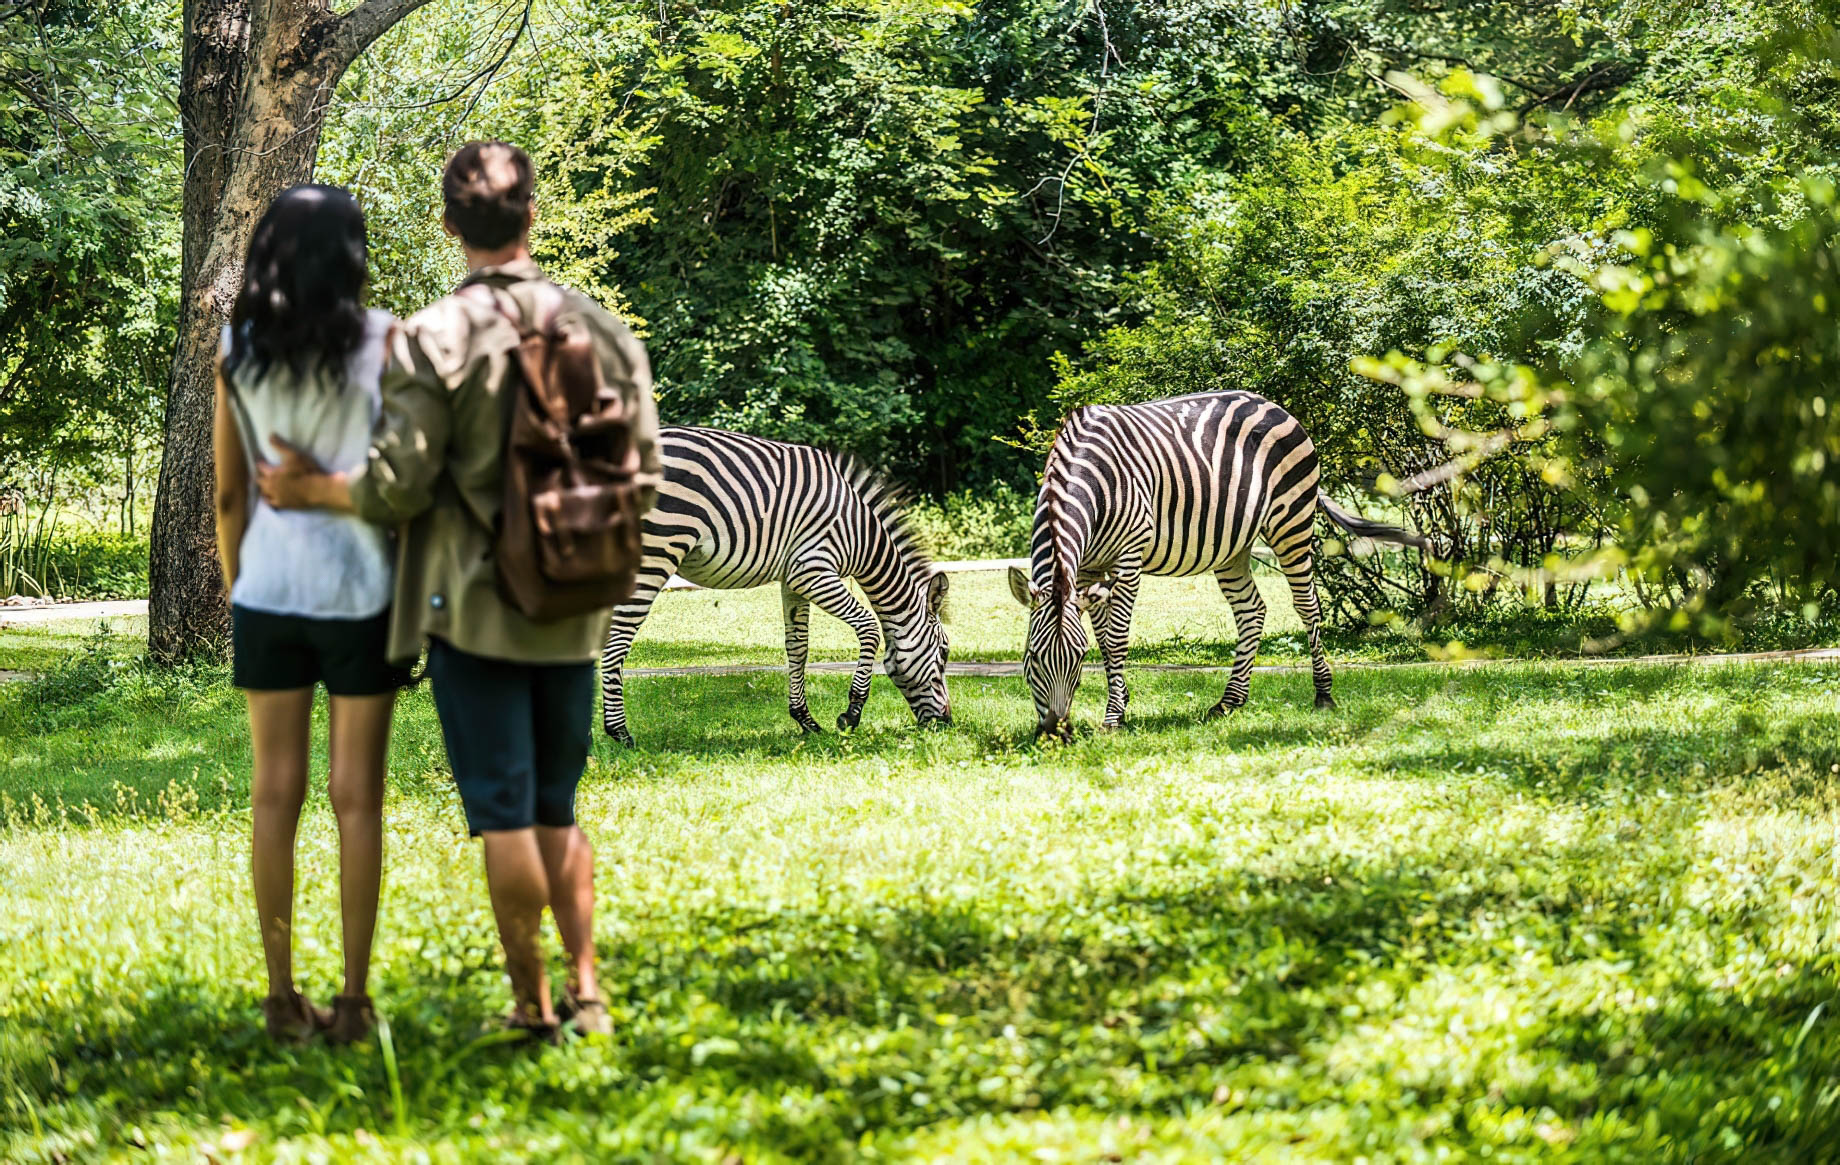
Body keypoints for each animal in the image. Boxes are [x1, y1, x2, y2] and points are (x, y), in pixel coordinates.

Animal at [601, 426, 952, 744]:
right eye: (944, 653)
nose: (947, 722)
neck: (861, 536)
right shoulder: (813, 571)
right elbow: (868, 626)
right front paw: (851, 713)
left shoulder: (793, 580)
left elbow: (798, 645)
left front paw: (806, 721)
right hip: (657, 548)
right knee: (618, 636)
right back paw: (619, 733)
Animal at [1009, 390, 1431, 739]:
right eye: (1031, 657)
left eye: (1077, 661)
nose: (1055, 735)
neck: (1087, 476)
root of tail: (1275, 405)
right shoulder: (1090, 567)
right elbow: (1103, 638)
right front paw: (1122, 701)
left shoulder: (1128, 556)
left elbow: (1115, 638)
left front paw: (1114, 718)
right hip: (1232, 546)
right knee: (1252, 610)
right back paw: (1230, 701)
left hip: (1291, 522)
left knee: (1307, 606)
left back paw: (1323, 695)